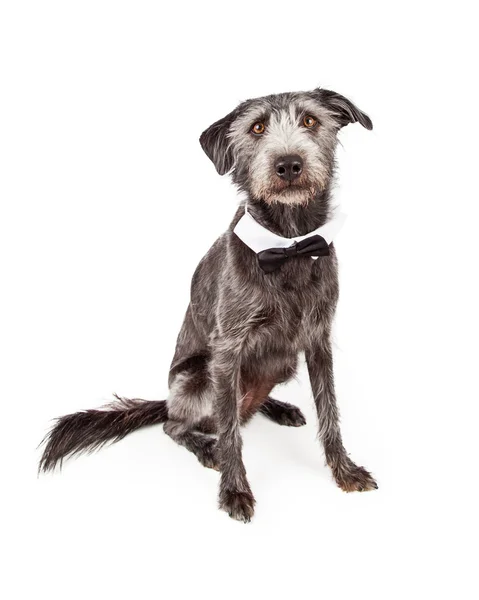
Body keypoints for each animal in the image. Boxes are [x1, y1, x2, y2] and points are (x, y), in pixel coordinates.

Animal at [40, 86, 378, 524]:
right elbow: (231, 433)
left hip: (282, 363)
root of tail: (168, 401)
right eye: (257, 128)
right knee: (179, 426)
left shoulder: (319, 340)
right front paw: (234, 490)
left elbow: (330, 412)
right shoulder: (227, 350)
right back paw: (204, 444)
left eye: (310, 120)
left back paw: (278, 407)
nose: (288, 164)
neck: (287, 246)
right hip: (198, 377)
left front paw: (344, 471)